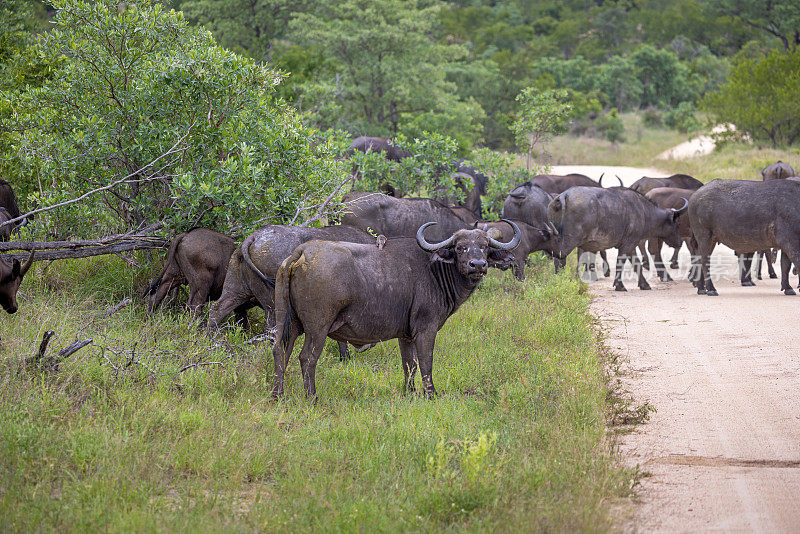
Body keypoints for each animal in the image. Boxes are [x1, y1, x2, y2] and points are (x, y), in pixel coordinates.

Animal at [206, 224, 376, 362]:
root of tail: (254, 237)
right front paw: (345, 358)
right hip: (272, 301)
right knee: (271, 327)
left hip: (236, 289)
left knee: (217, 309)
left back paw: (210, 340)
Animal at [270, 220, 520, 400]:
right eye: (460, 248)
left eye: (485, 247)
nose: (477, 265)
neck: (435, 270)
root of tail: (302, 252)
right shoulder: (426, 329)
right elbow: (426, 362)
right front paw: (431, 395)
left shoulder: (405, 335)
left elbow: (409, 365)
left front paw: (410, 393)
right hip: (317, 327)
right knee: (307, 358)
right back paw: (312, 398)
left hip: (289, 323)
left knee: (280, 352)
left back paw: (277, 396)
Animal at [552, 187, 688, 294]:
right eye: (677, 224)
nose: (680, 242)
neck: (644, 212)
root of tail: (565, 195)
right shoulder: (627, 244)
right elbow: (620, 263)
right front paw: (619, 285)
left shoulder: (631, 246)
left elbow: (636, 264)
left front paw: (644, 284)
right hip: (570, 241)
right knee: (560, 258)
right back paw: (560, 278)